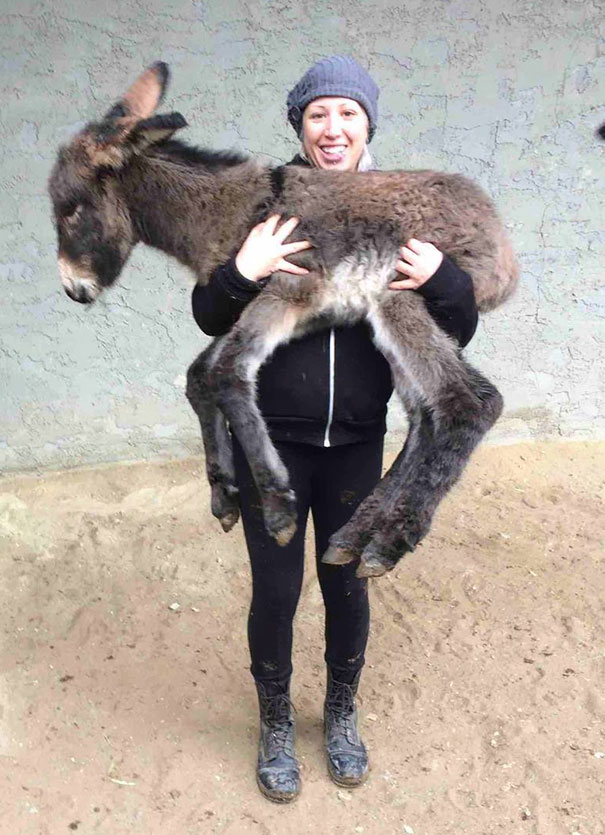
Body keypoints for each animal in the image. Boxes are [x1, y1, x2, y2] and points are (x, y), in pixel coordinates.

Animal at [48, 62, 519, 578]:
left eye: (71, 210)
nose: (73, 290)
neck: (239, 213)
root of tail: (501, 240)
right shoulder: (274, 311)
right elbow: (199, 375)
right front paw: (224, 494)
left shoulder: (288, 294)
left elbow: (225, 372)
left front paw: (276, 508)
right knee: (428, 417)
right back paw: (355, 536)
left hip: (402, 298)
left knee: (468, 403)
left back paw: (390, 541)